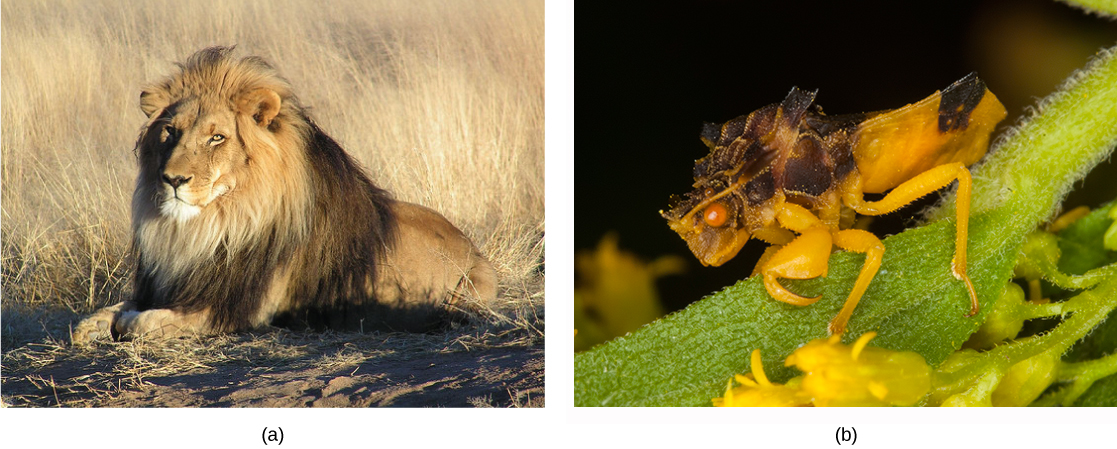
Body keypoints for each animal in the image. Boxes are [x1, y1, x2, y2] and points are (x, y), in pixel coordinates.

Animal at [74, 46, 498, 344]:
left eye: (217, 137)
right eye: (170, 132)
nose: (173, 179)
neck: (210, 226)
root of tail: (473, 247)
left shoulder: (236, 309)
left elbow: (142, 322)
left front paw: (125, 322)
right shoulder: (172, 284)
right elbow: (111, 310)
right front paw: (92, 326)